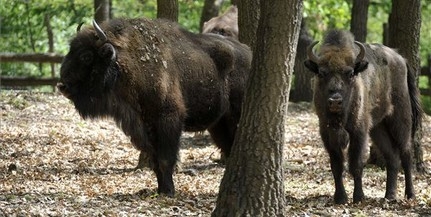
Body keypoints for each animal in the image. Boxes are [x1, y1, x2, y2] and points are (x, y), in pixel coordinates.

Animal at [57, 17, 253, 196]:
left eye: (86, 56)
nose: (62, 85)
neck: (130, 63)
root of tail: (249, 54)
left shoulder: (168, 119)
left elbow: (166, 158)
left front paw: (168, 192)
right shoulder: (145, 126)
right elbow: (155, 159)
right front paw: (160, 189)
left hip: (234, 116)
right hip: (219, 124)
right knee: (227, 146)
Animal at [306, 28, 424, 203]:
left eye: (350, 73)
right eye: (321, 73)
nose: (335, 101)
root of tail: (401, 59)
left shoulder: (358, 131)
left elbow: (356, 164)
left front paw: (359, 197)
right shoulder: (327, 132)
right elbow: (336, 165)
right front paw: (340, 198)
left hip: (400, 120)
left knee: (406, 154)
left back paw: (410, 194)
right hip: (378, 128)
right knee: (392, 157)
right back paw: (389, 195)